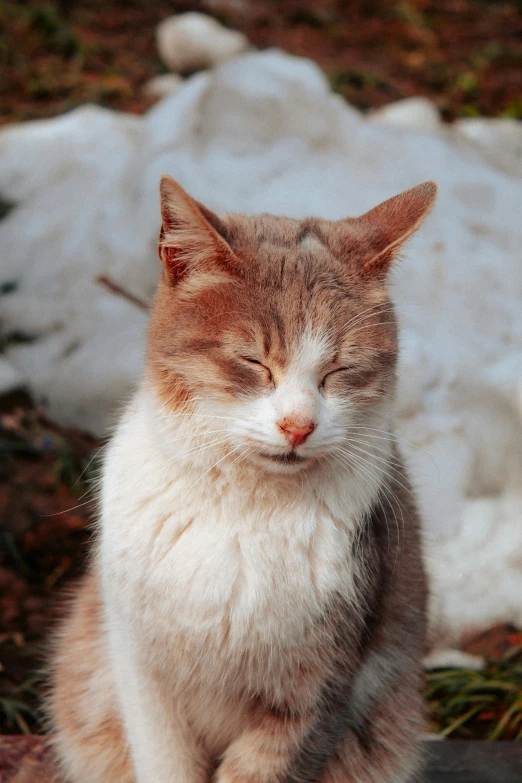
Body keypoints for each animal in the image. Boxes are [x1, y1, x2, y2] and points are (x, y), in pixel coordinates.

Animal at [45, 175, 434, 780]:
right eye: (253, 362)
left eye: (339, 370)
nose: (298, 425)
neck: (243, 509)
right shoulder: (142, 676)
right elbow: (163, 762)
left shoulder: (320, 689)